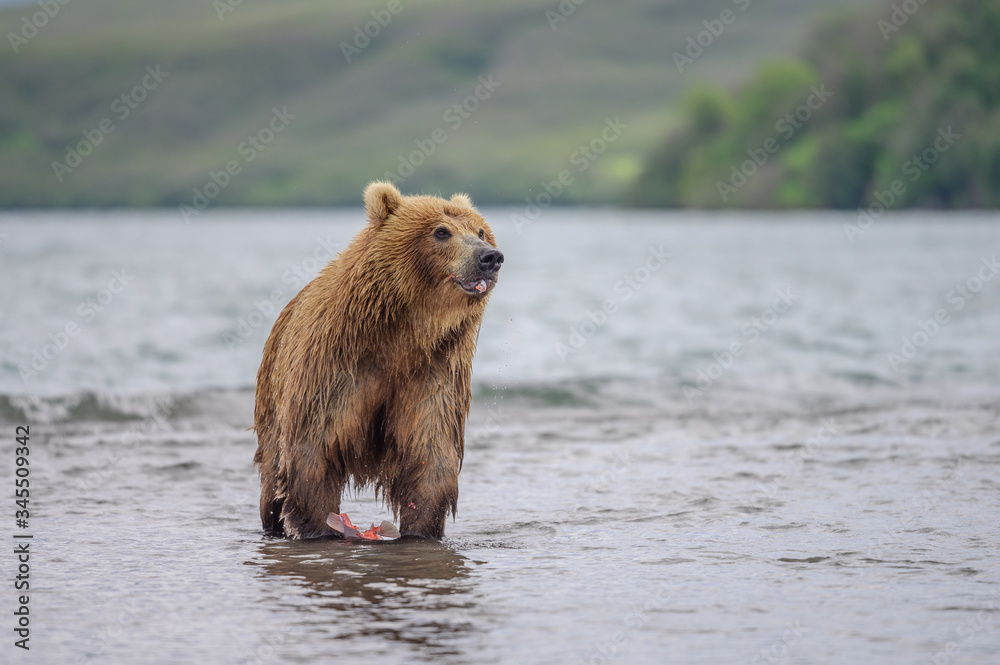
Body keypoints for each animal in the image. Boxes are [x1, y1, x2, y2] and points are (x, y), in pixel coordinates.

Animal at [253, 181, 503, 540]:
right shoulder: (334, 370)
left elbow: (429, 455)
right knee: (272, 476)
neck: (401, 335)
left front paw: (420, 528)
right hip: (272, 399)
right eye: (441, 231)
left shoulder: (433, 372)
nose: (489, 256)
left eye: (481, 230)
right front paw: (318, 526)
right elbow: (314, 453)